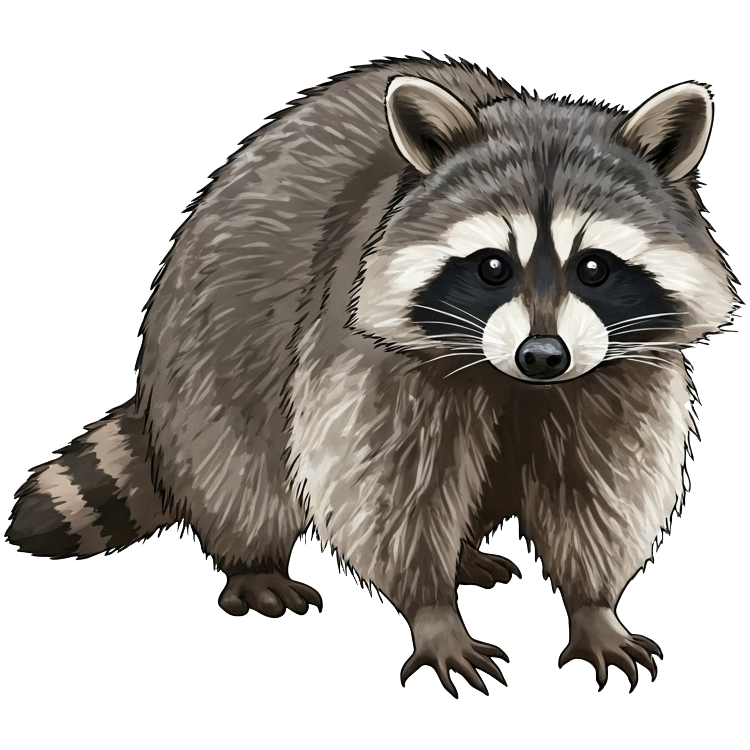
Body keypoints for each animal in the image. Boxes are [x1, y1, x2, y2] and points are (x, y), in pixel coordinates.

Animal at [6, 57, 737, 695]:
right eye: (492, 267)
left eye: (594, 268)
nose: (542, 355)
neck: (518, 384)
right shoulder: (362, 352)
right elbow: (388, 490)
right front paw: (433, 612)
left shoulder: (618, 375)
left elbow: (596, 489)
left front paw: (593, 605)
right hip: (210, 341)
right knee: (235, 463)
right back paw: (255, 559)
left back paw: (465, 552)